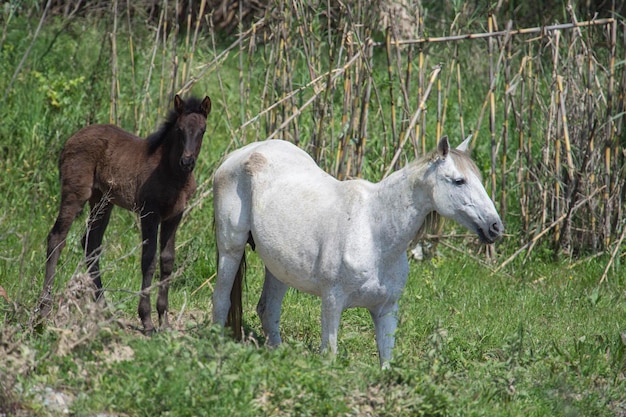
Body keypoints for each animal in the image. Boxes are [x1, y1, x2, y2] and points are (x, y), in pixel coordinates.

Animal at [211, 136, 502, 364]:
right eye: (459, 181)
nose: (495, 227)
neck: (373, 232)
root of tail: (241, 153)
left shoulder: (386, 310)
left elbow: (386, 362)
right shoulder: (332, 302)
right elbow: (329, 354)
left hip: (279, 267)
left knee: (268, 310)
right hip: (230, 249)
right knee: (221, 300)